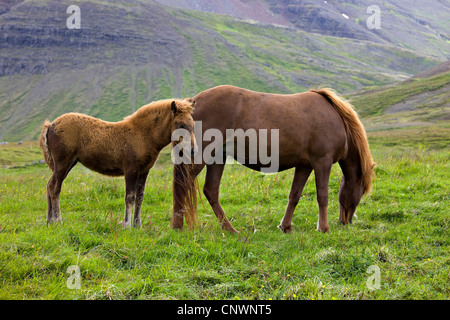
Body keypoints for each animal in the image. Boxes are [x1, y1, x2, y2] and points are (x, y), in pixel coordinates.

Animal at [40, 100, 197, 228]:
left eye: (193, 124)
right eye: (181, 124)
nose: (193, 150)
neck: (143, 134)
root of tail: (51, 125)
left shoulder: (144, 171)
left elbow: (140, 197)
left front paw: (137, 224)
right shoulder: (131, 170)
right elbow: (130, 197)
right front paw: (127, 225)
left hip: (68, 164)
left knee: (49, 185)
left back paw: (49, 221)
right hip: (63, 163)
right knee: (55, 188)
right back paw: (58, 220)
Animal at [171, 85, 374, 232]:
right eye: (362, 190)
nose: (345, 221)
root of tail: (191, 104)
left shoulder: (304, 166)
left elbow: (294, 195)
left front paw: (286, 226)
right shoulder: (322, 163)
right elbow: (322, 195)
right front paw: (323, 228)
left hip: (217, 158)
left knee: (211, 191)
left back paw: (229, 229)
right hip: (200, 158)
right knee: (184, 183)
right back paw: (178, 225)